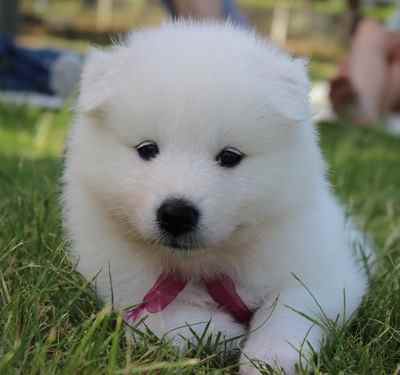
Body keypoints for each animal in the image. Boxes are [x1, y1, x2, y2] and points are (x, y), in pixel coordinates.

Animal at [63, 21, 372, 375]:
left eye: (230, 156)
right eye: (147, 149)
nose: (176, 214)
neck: (204, 264)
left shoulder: (324, 271)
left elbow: (290, 306)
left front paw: (270, 358)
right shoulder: (123, 284)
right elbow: (167, 319)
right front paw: (226, 335)